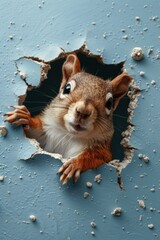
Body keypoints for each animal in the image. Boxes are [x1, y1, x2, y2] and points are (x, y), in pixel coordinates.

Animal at [4, 54, 131, 184]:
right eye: (67, 88)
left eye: (110, 103)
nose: (83, 111)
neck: (69, 136)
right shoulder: (45, 134)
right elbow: (35, 133)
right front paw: (25, 117)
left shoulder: (104, 152)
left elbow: (95, 156)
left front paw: (75, 164)